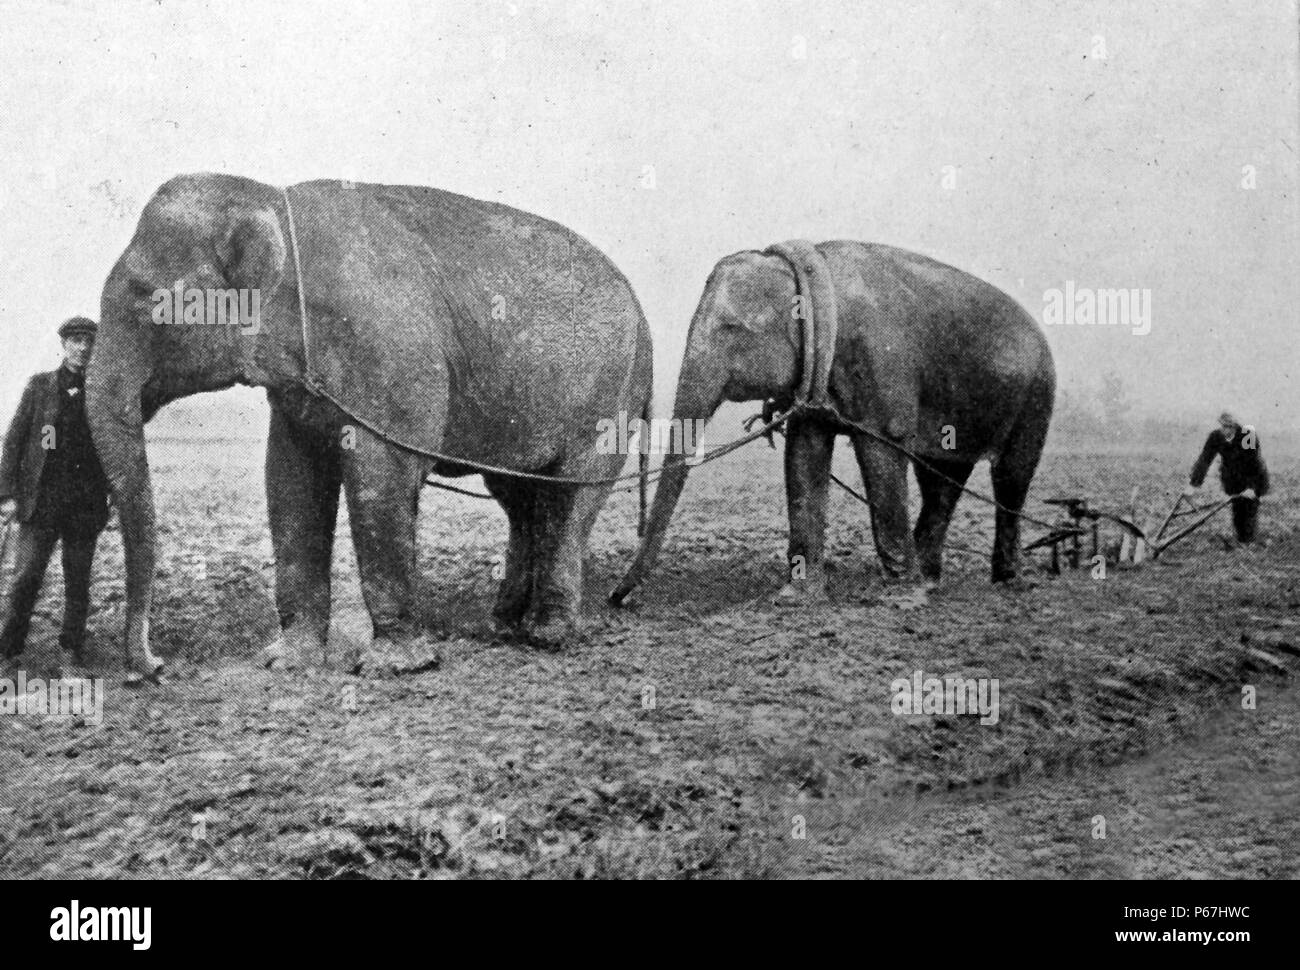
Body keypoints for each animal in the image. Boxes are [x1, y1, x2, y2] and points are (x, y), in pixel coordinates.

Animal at [85, 170, 650, 676]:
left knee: (569, 494)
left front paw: (392, 667)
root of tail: (643, 313)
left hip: (610, 392)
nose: (154, 667)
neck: (271, 200)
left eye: (147, 299)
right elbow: (290, 478)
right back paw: (501, 626)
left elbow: (382, 475)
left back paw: (547, 636)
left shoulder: (391, 353)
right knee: (520, 498)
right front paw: (286, 663)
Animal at [611, 239, 1055, 608]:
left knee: (1011, 476)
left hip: (1037, 394)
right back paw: (931, 581)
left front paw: (899, 601)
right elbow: (804, 456)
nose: (618, 599)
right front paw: (794, 600)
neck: (808, 275)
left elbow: (881, 453)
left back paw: (1006, 582)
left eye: (731, 328)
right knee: (943, 480)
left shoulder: (881, 366)